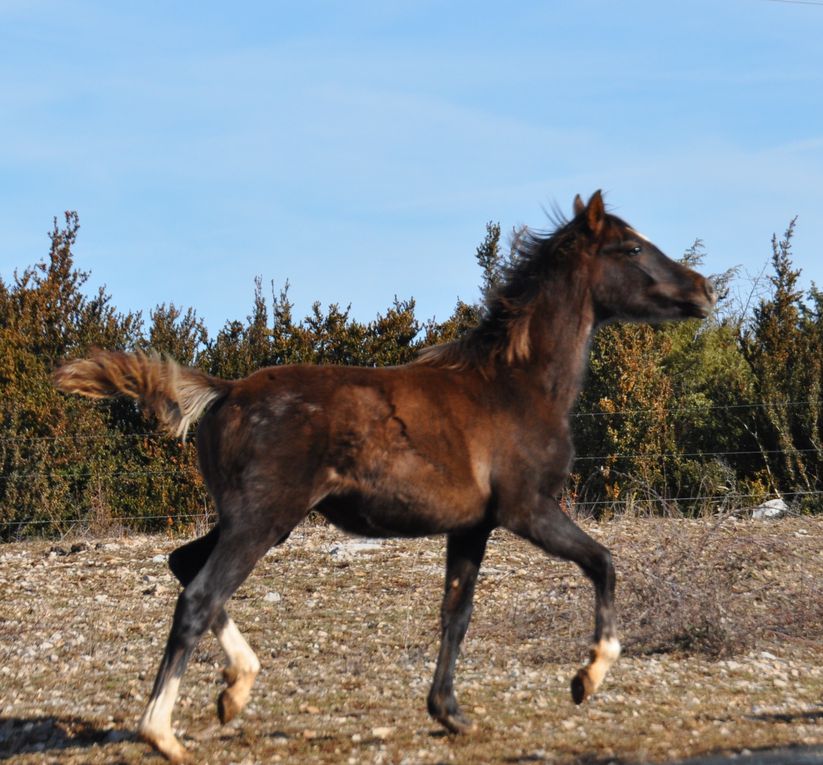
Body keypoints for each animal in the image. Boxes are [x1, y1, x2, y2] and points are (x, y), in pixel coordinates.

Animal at [54, 191, 716, 760]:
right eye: (631, 248)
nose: (703, 290)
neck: (515, 385)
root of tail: (224, 392)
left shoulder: (471, 527)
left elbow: (457, 613)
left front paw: (449, 712)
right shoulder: (528, 509)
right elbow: (602, 562)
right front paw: (587, 678)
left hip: (253, 519)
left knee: (184, 565)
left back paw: (235, 689)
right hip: (263, 518)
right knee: (198, 595)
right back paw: (163, 732)